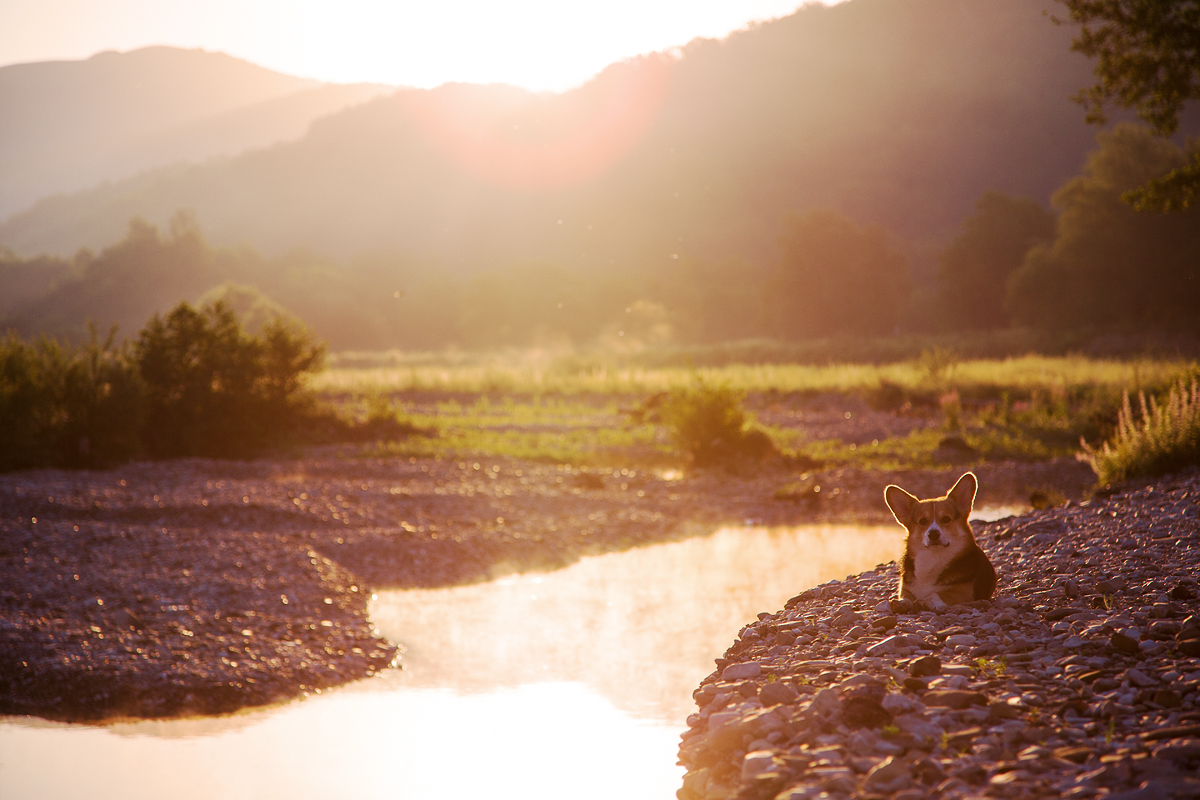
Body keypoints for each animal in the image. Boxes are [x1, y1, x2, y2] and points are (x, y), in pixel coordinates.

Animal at [883, 472, 993, 609]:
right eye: (922, 521)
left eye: (946, 519)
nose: (933, 534)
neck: (933, 557)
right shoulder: (905, 589)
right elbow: (906, 596)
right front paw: (901, 603)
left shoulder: (962, 592)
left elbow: (939, 594)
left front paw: (925, 601)